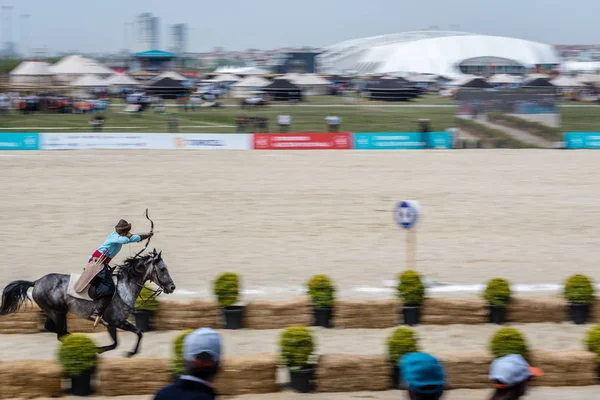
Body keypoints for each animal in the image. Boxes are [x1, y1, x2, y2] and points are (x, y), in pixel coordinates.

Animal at [0, 248, 177, 358]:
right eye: (162, 269)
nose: (172, 287)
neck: (124, 287)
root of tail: (36, 282)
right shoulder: (117, 321)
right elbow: (138, 332)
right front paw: (130, 353)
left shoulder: (111, 324)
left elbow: (115, 343)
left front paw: (99, 350)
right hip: (58, 313)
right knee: (60, 333)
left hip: (55, 313)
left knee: (53, 329)